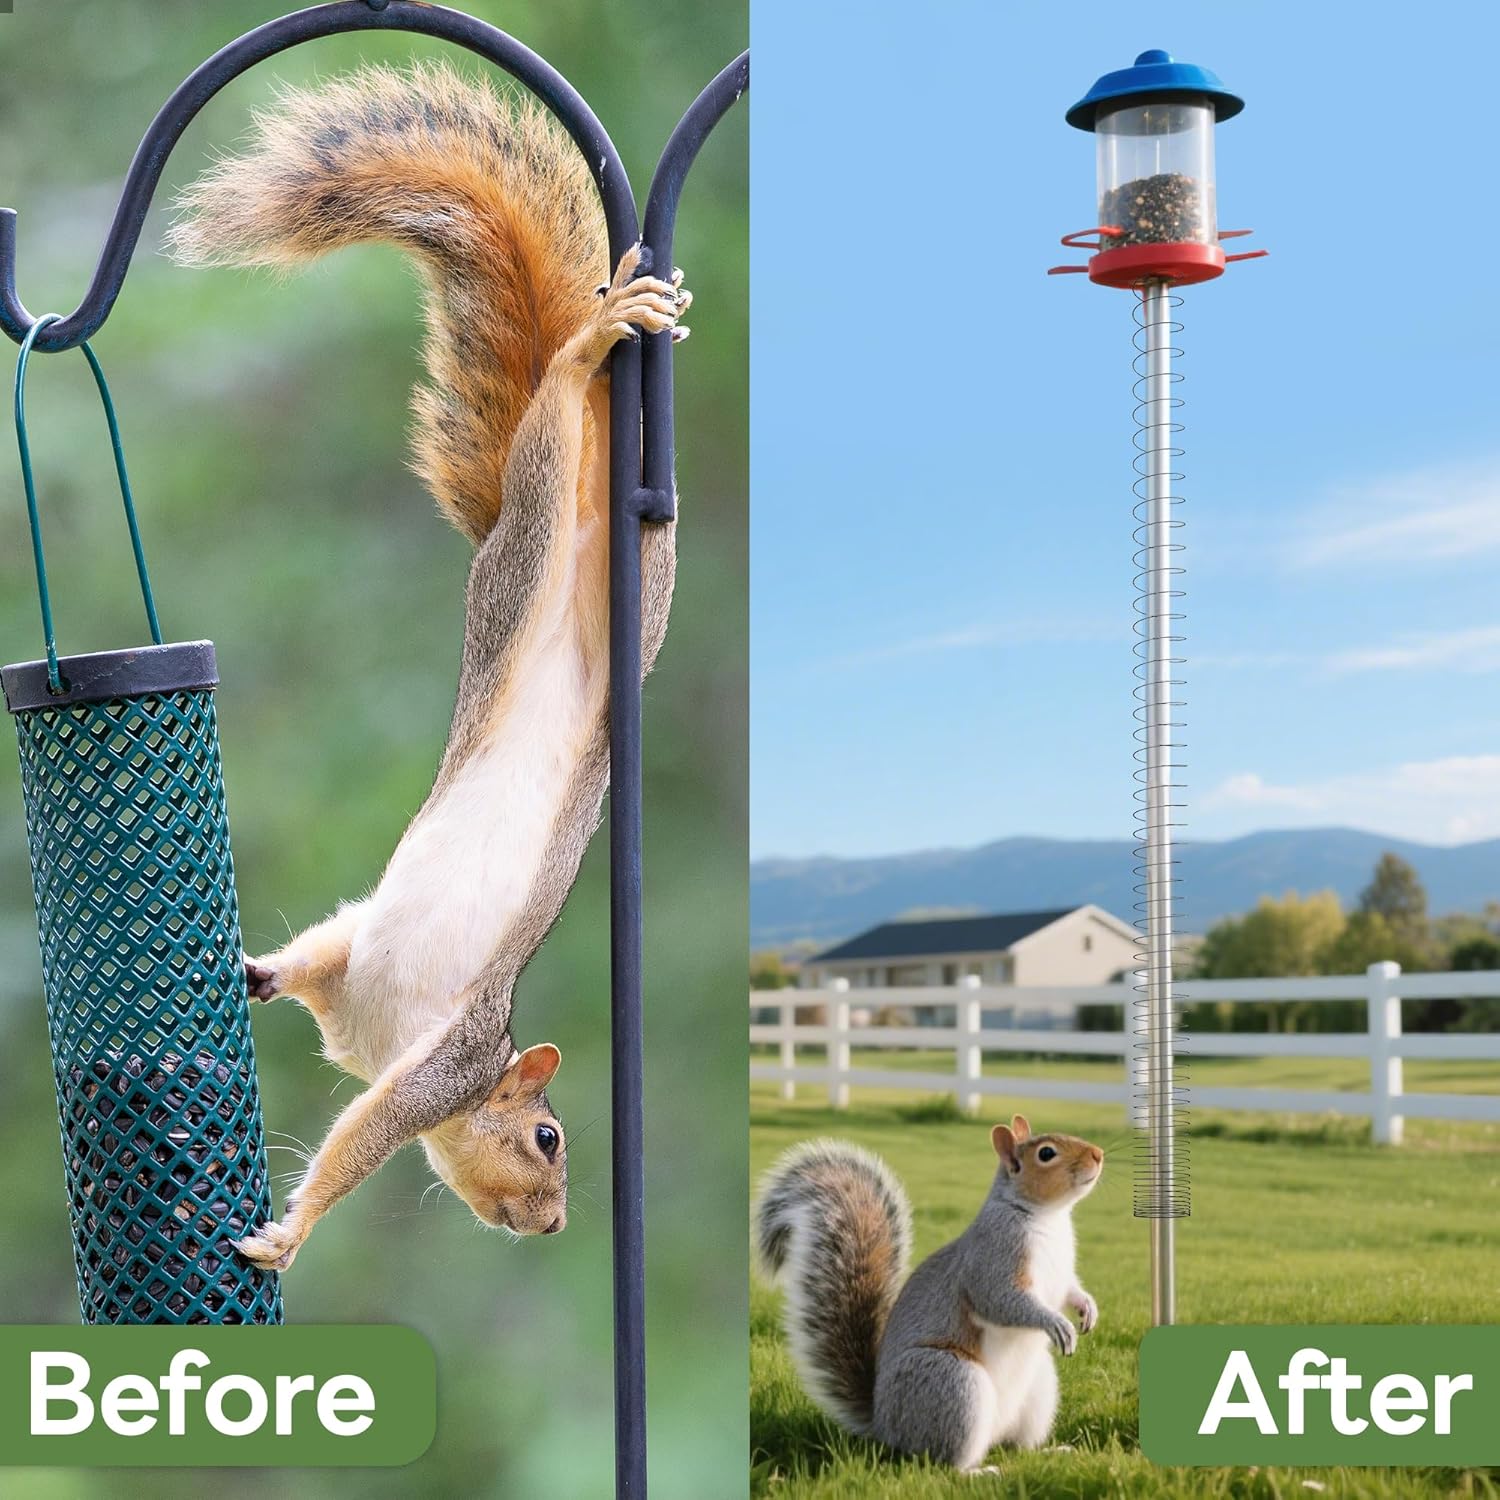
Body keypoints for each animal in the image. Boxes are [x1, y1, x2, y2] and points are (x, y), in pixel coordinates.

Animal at [166, 63, 690, 1271]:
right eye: (548, 1139)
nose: (550, 1225)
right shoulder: (437, 1075)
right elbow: (365, 1132)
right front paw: (295, 1231)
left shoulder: (367, 975)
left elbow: (322, 956)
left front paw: (258, 975)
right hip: (540, 550)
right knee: (557, 420)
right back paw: (595, 341)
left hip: (612, 591)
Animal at [754, 1116, 1103, 1472]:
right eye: (1046, 1154)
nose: (1099, 1154)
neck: (1046, 1217)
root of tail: (884, 1427)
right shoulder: (993, 1257)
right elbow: (1001, 1300)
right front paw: (1056, 1323)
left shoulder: (1060, 1276)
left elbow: (1069, 1290)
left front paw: (1087, 1308)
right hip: (951, 1382)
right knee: (943, 1461)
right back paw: (978, 1472)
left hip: (1038, 1390)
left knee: (1017, 1446)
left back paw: (1049, 1452)